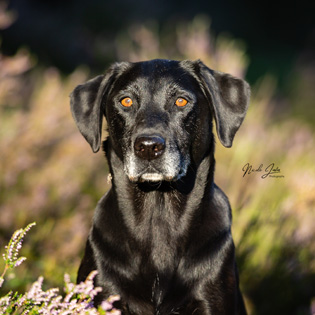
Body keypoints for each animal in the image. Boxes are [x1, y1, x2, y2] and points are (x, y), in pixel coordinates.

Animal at [70, 59, 251, 315]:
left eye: (181, 101)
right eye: (126, 101)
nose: (148, 147)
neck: (158, 214)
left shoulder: (211, 298)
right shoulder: (104, 292)